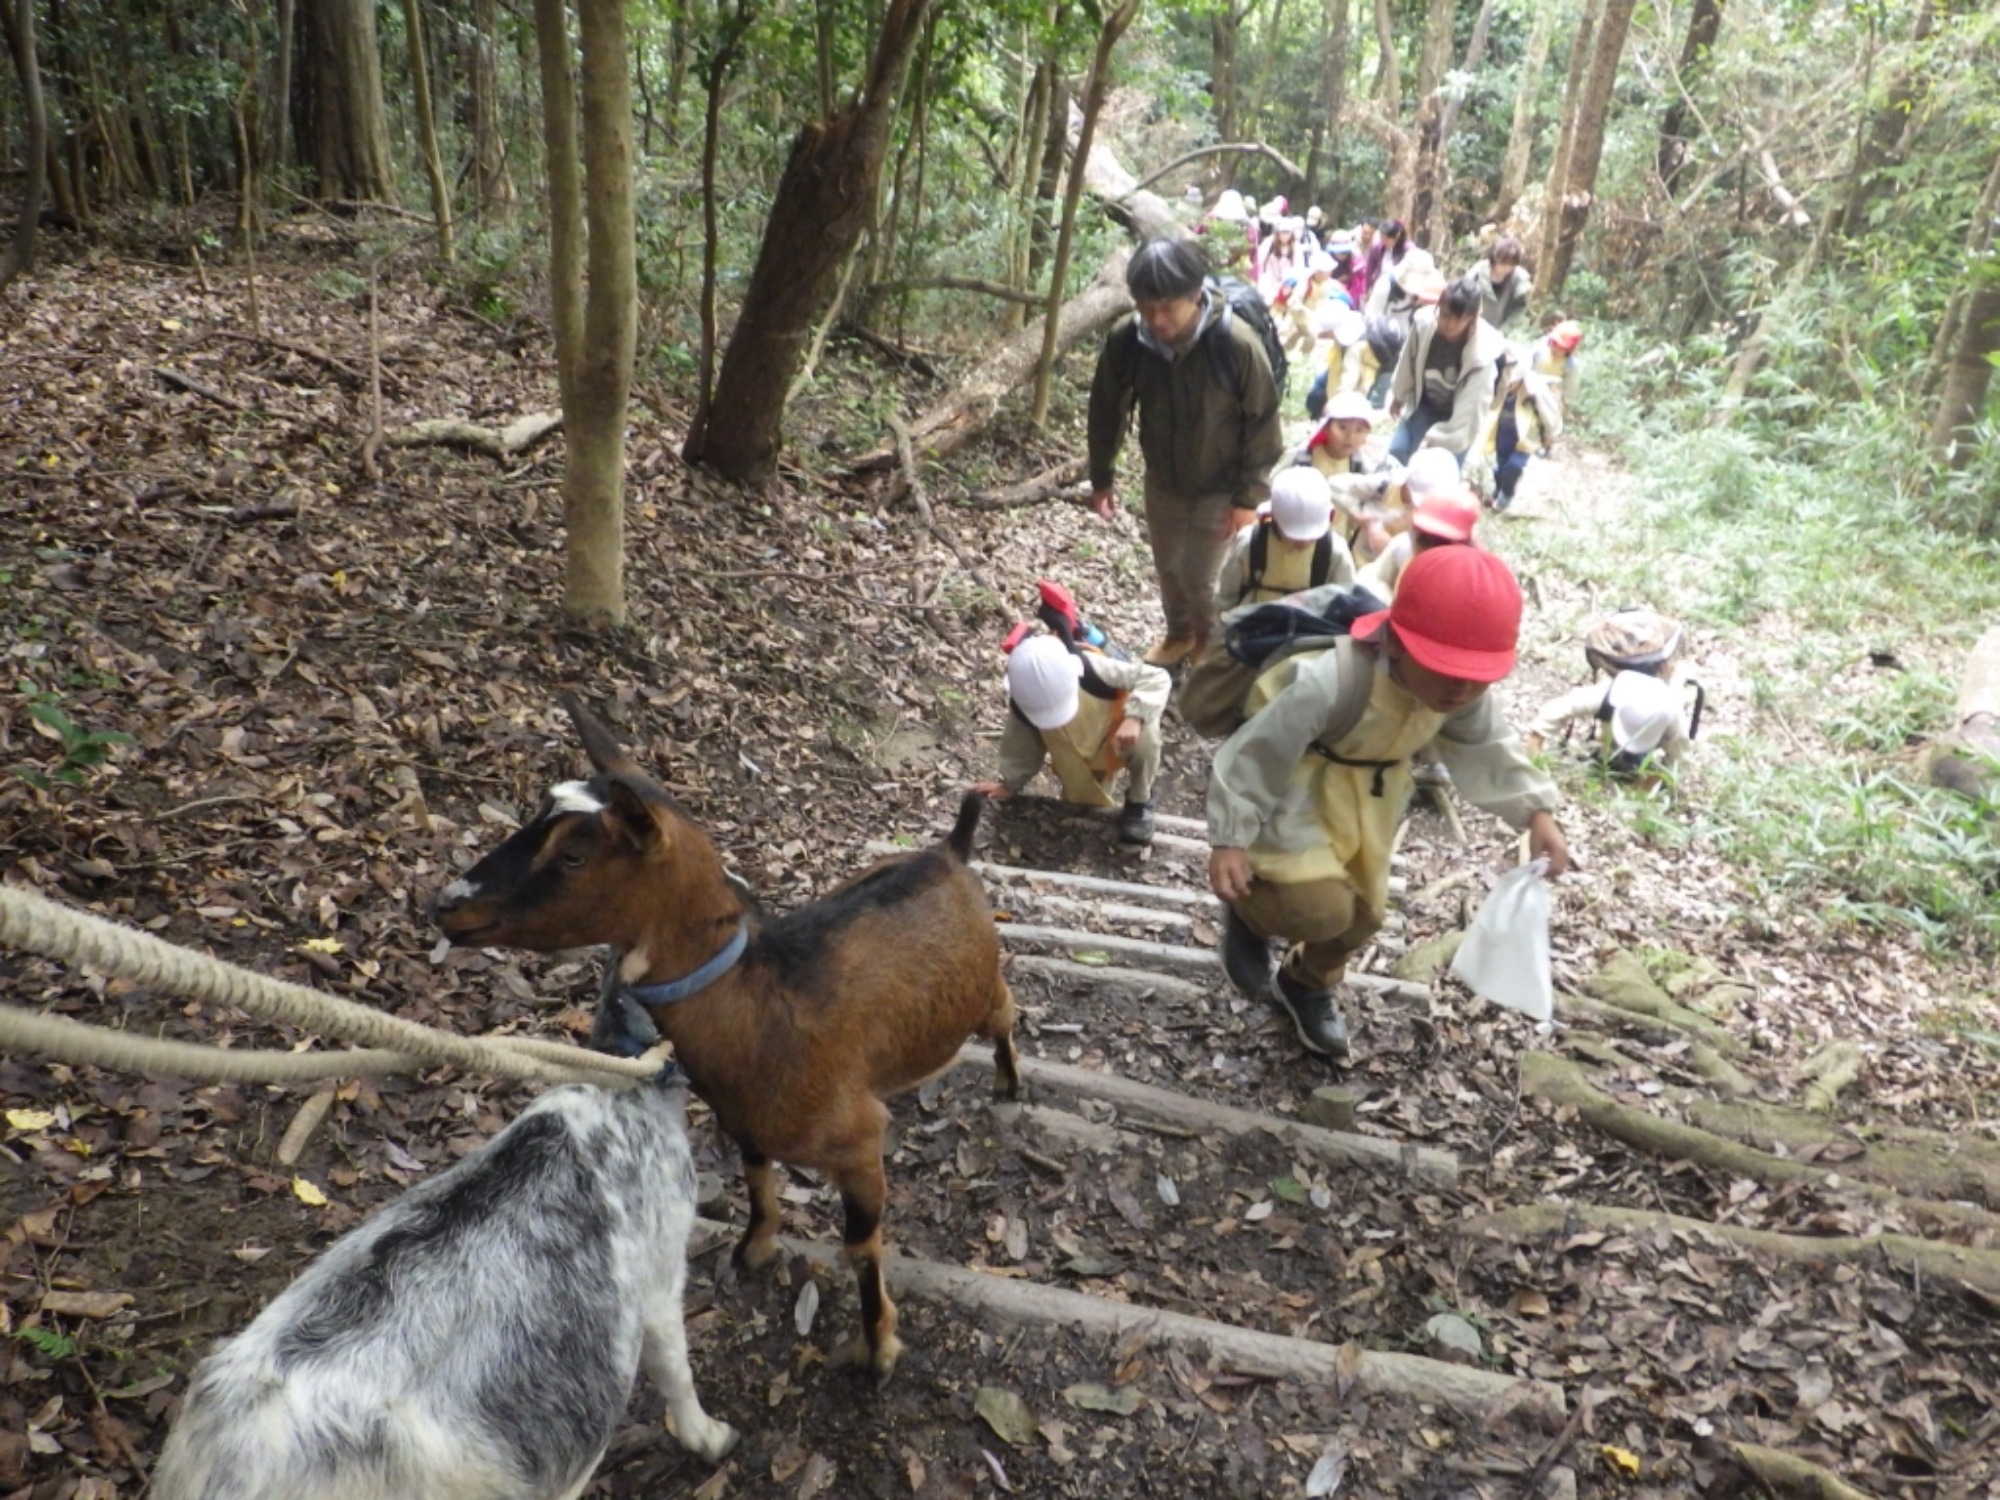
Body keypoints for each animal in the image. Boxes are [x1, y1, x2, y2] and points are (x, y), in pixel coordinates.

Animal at [432, 700, 1024, 1384]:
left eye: (575, 855)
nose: (446, 904)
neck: (764, 1005)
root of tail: (949, 851)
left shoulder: (857, 1142)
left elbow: (859, 1246)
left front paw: (877, 1347)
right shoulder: (744, 1121)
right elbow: (757, 1179)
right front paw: (754, 1249)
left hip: (981, 996)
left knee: (1006, 1016)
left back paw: (1009, 1082)